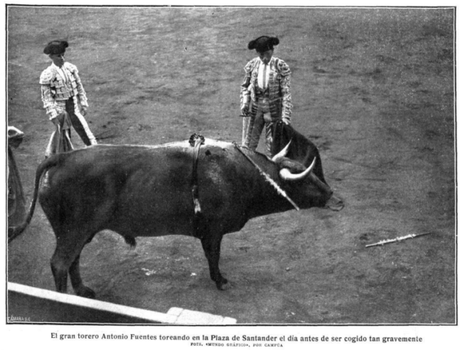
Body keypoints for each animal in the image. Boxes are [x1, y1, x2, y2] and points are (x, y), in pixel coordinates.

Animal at [9, 135, 344, 296]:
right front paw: (221, 281)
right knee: (60, 263)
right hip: (74, 230)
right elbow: (213, 257)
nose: (336, 199)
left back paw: (82, 291)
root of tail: (61, 157)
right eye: (308, 179)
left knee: (72, 261)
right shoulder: (213, 231)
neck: (242, 175)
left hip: (76, 231)